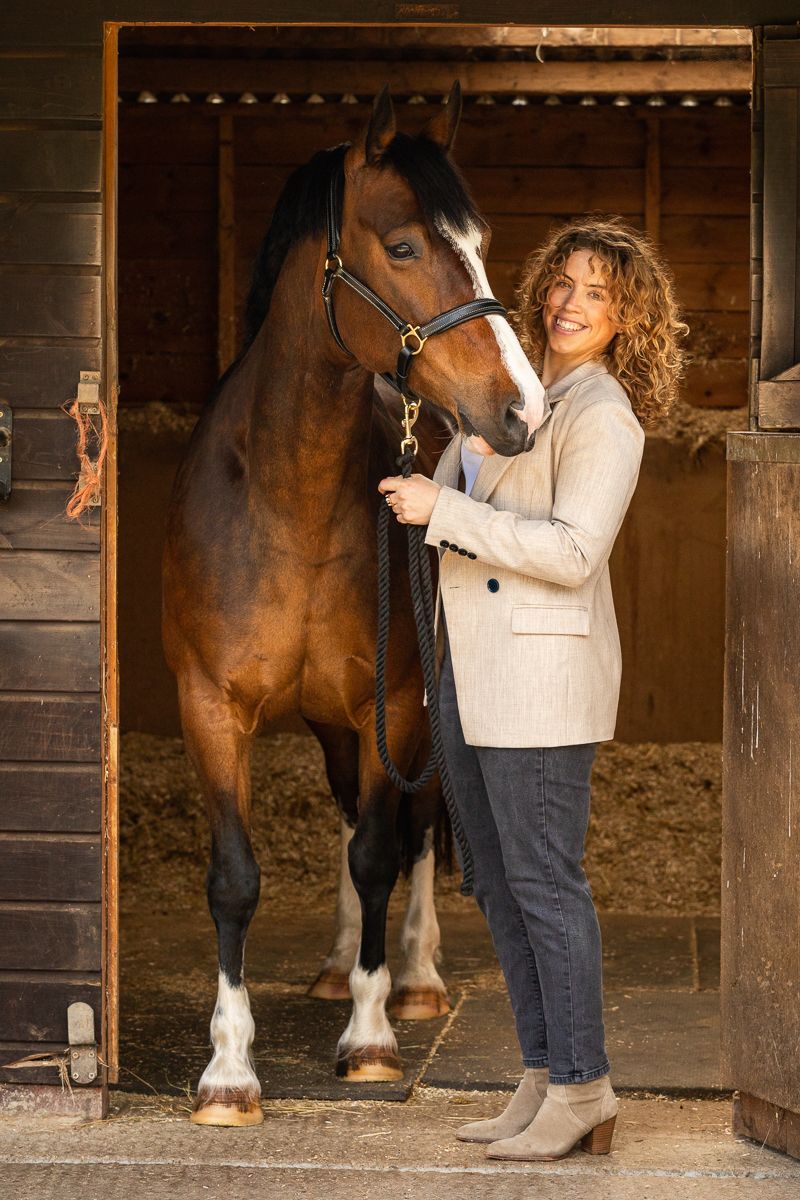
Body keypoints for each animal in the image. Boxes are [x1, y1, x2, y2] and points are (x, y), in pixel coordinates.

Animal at [162, 82, 544, 1128]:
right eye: (405, 246)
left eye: (480, 239)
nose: (523, 410)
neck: (287, 496)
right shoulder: (210, 708)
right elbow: (235, 878)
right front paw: (228, 1071)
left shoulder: (397, 702)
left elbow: (381, 851)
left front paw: (371, 1035)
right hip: (335, 722)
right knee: (343, 814)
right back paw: (338, 965)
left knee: (412, 835)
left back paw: (411, 978)